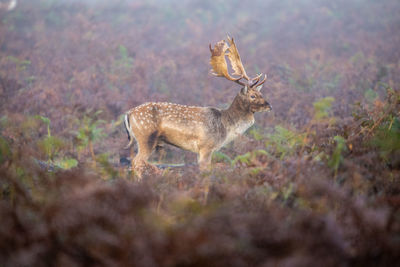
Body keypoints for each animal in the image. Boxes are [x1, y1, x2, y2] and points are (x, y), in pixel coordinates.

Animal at [124, 36, 272, 178]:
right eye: (252, 96)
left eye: (261, 93)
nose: (269, 106)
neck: (226, 125)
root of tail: (128, 114)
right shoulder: (206, 146)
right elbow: (206, 171)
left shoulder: (199, 150)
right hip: (146, 137)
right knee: (137, 162)